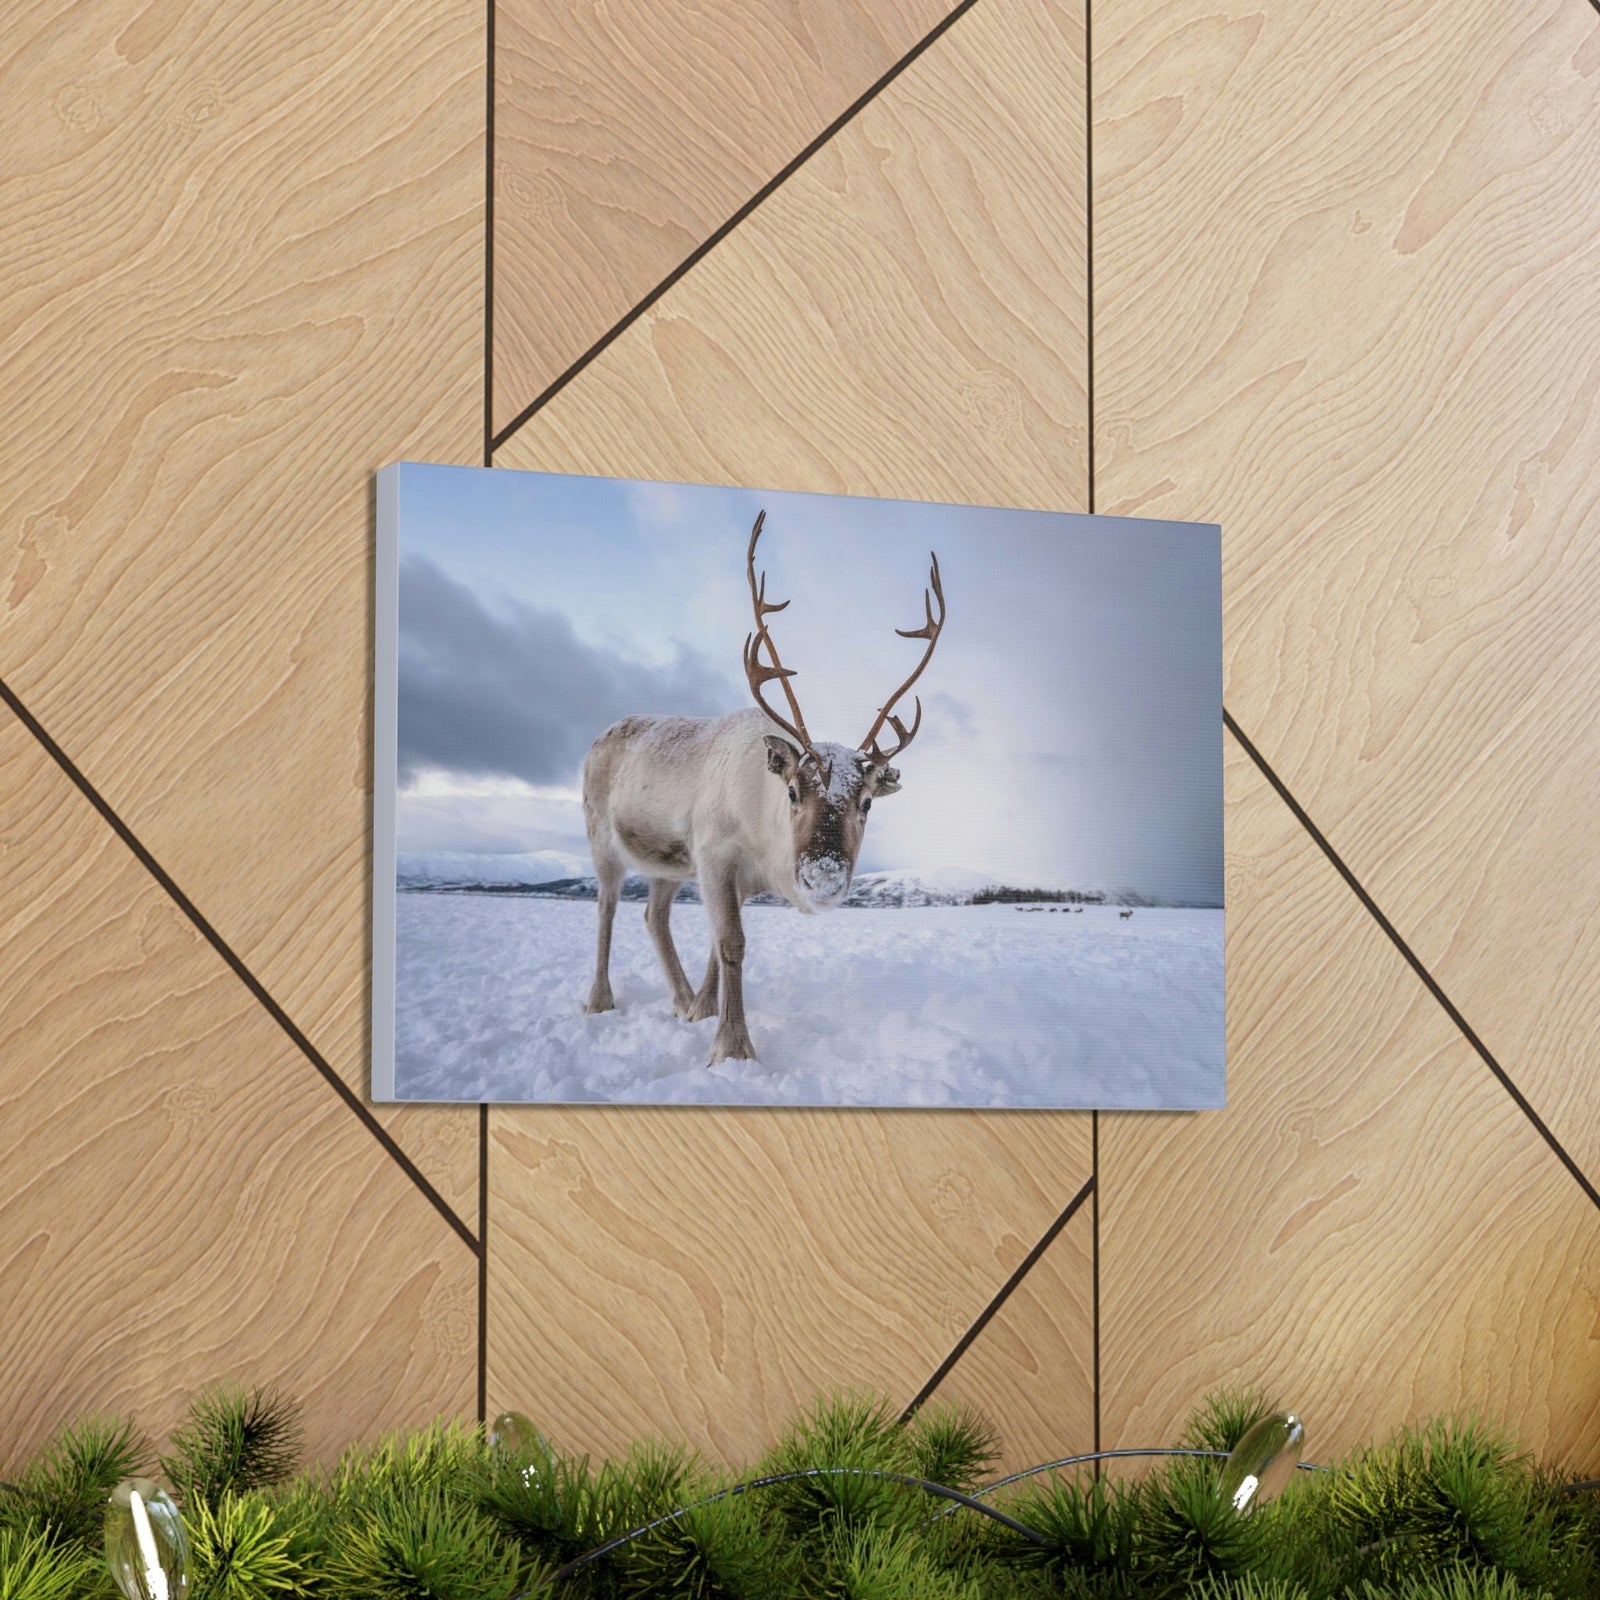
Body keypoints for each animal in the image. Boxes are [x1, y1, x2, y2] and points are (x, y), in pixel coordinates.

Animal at [580, 510, 946, 1065]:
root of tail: (599, 736)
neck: (761, 835)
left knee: (653, 915)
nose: (822, 879)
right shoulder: (714, 854)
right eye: (793, 791)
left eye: (865, 802)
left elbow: (716, 945)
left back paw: (681, 999)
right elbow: (732, 943)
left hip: (668, 863)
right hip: (602, 837)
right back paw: (600, 1000)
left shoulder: (733, 877)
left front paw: (703, 1011)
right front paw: (732, 1047)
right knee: (606, 907)